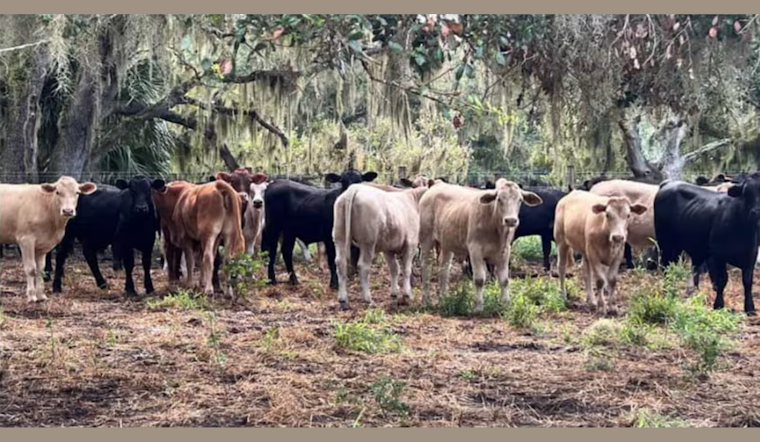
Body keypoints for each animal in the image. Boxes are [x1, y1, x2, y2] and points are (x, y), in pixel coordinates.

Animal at [418, 178, 543, 313]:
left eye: (520, 200)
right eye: (499, 199)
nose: (511, 220)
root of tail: (436, 185)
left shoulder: (505, 251)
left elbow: (504, 280)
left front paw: (506, 304)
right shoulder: (475, 250)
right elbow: (479, 279)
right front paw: (478, 307)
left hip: (447, 242)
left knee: (444, 268)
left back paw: (443, 298)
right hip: (426, 239)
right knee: (426, 266)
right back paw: (426, 300)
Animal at [654, 175, 760, 315]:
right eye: (746, 193)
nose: (756, 212)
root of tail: (669, 183)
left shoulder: (750, 255)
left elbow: (747, 282)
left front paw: (750, 308)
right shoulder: (718, 255)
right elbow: (721, 280)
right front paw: (718, 305)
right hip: (666, 242)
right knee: (666, 266)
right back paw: (668, 290)